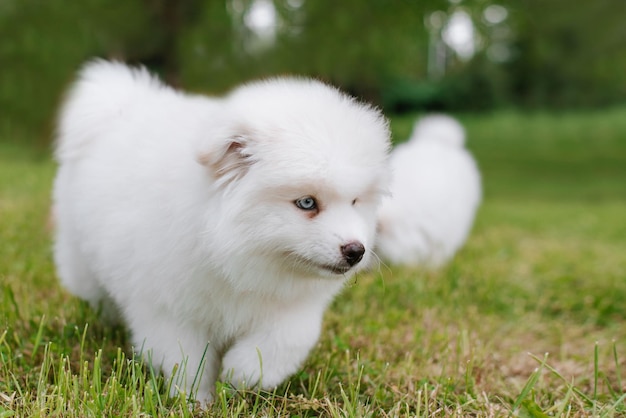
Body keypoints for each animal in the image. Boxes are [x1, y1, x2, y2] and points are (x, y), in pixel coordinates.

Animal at [52, 60, 390, 404]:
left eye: (355, 201)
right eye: (307, 203)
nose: (356, 251)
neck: (235, 252)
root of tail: (123, 105)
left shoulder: (292, 307)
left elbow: (282, 342)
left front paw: (242, 373)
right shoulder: (171, 308)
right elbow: (186, 360)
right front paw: (196, 400)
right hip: (83, 264)